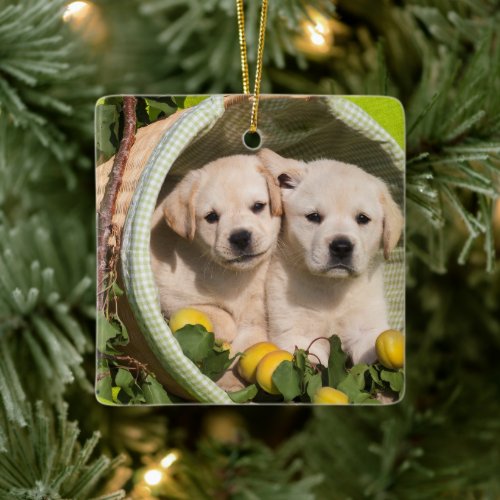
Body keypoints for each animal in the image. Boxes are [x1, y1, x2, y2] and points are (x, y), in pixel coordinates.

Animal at [149, 154, 282, 388]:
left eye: (258, 206)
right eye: (211, 217)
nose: (240, 237)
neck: (234, 277)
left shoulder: (255, 320)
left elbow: (245, 349)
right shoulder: (170, 296)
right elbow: (221, 316)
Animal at [258, 150, 402, 366]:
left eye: (362, 218)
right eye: (314, 216)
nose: (341, 247)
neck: (331, 287)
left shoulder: (367, 329)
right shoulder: (294, 333)